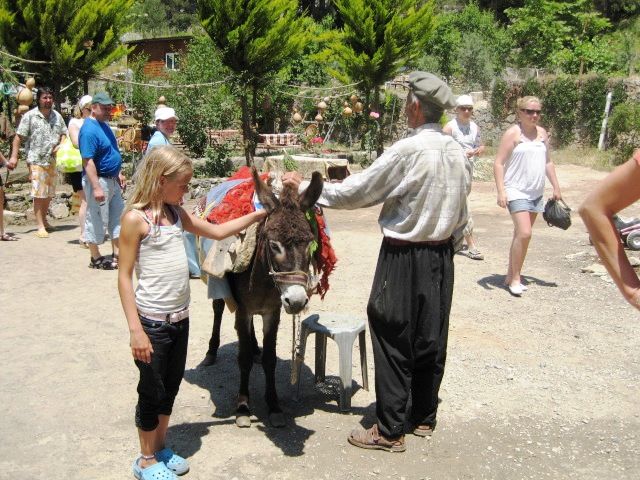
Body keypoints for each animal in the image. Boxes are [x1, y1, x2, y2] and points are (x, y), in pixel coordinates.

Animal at [203, 168, 324, 428]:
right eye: (274, 245)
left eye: (310, 242)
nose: (296, 301)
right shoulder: (243, 309)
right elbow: (243, 358)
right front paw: (242, 407)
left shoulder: (272, 312)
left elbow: (270, 359)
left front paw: (274, 406)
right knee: (218, 309)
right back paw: (211, 352)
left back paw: (255, 345)